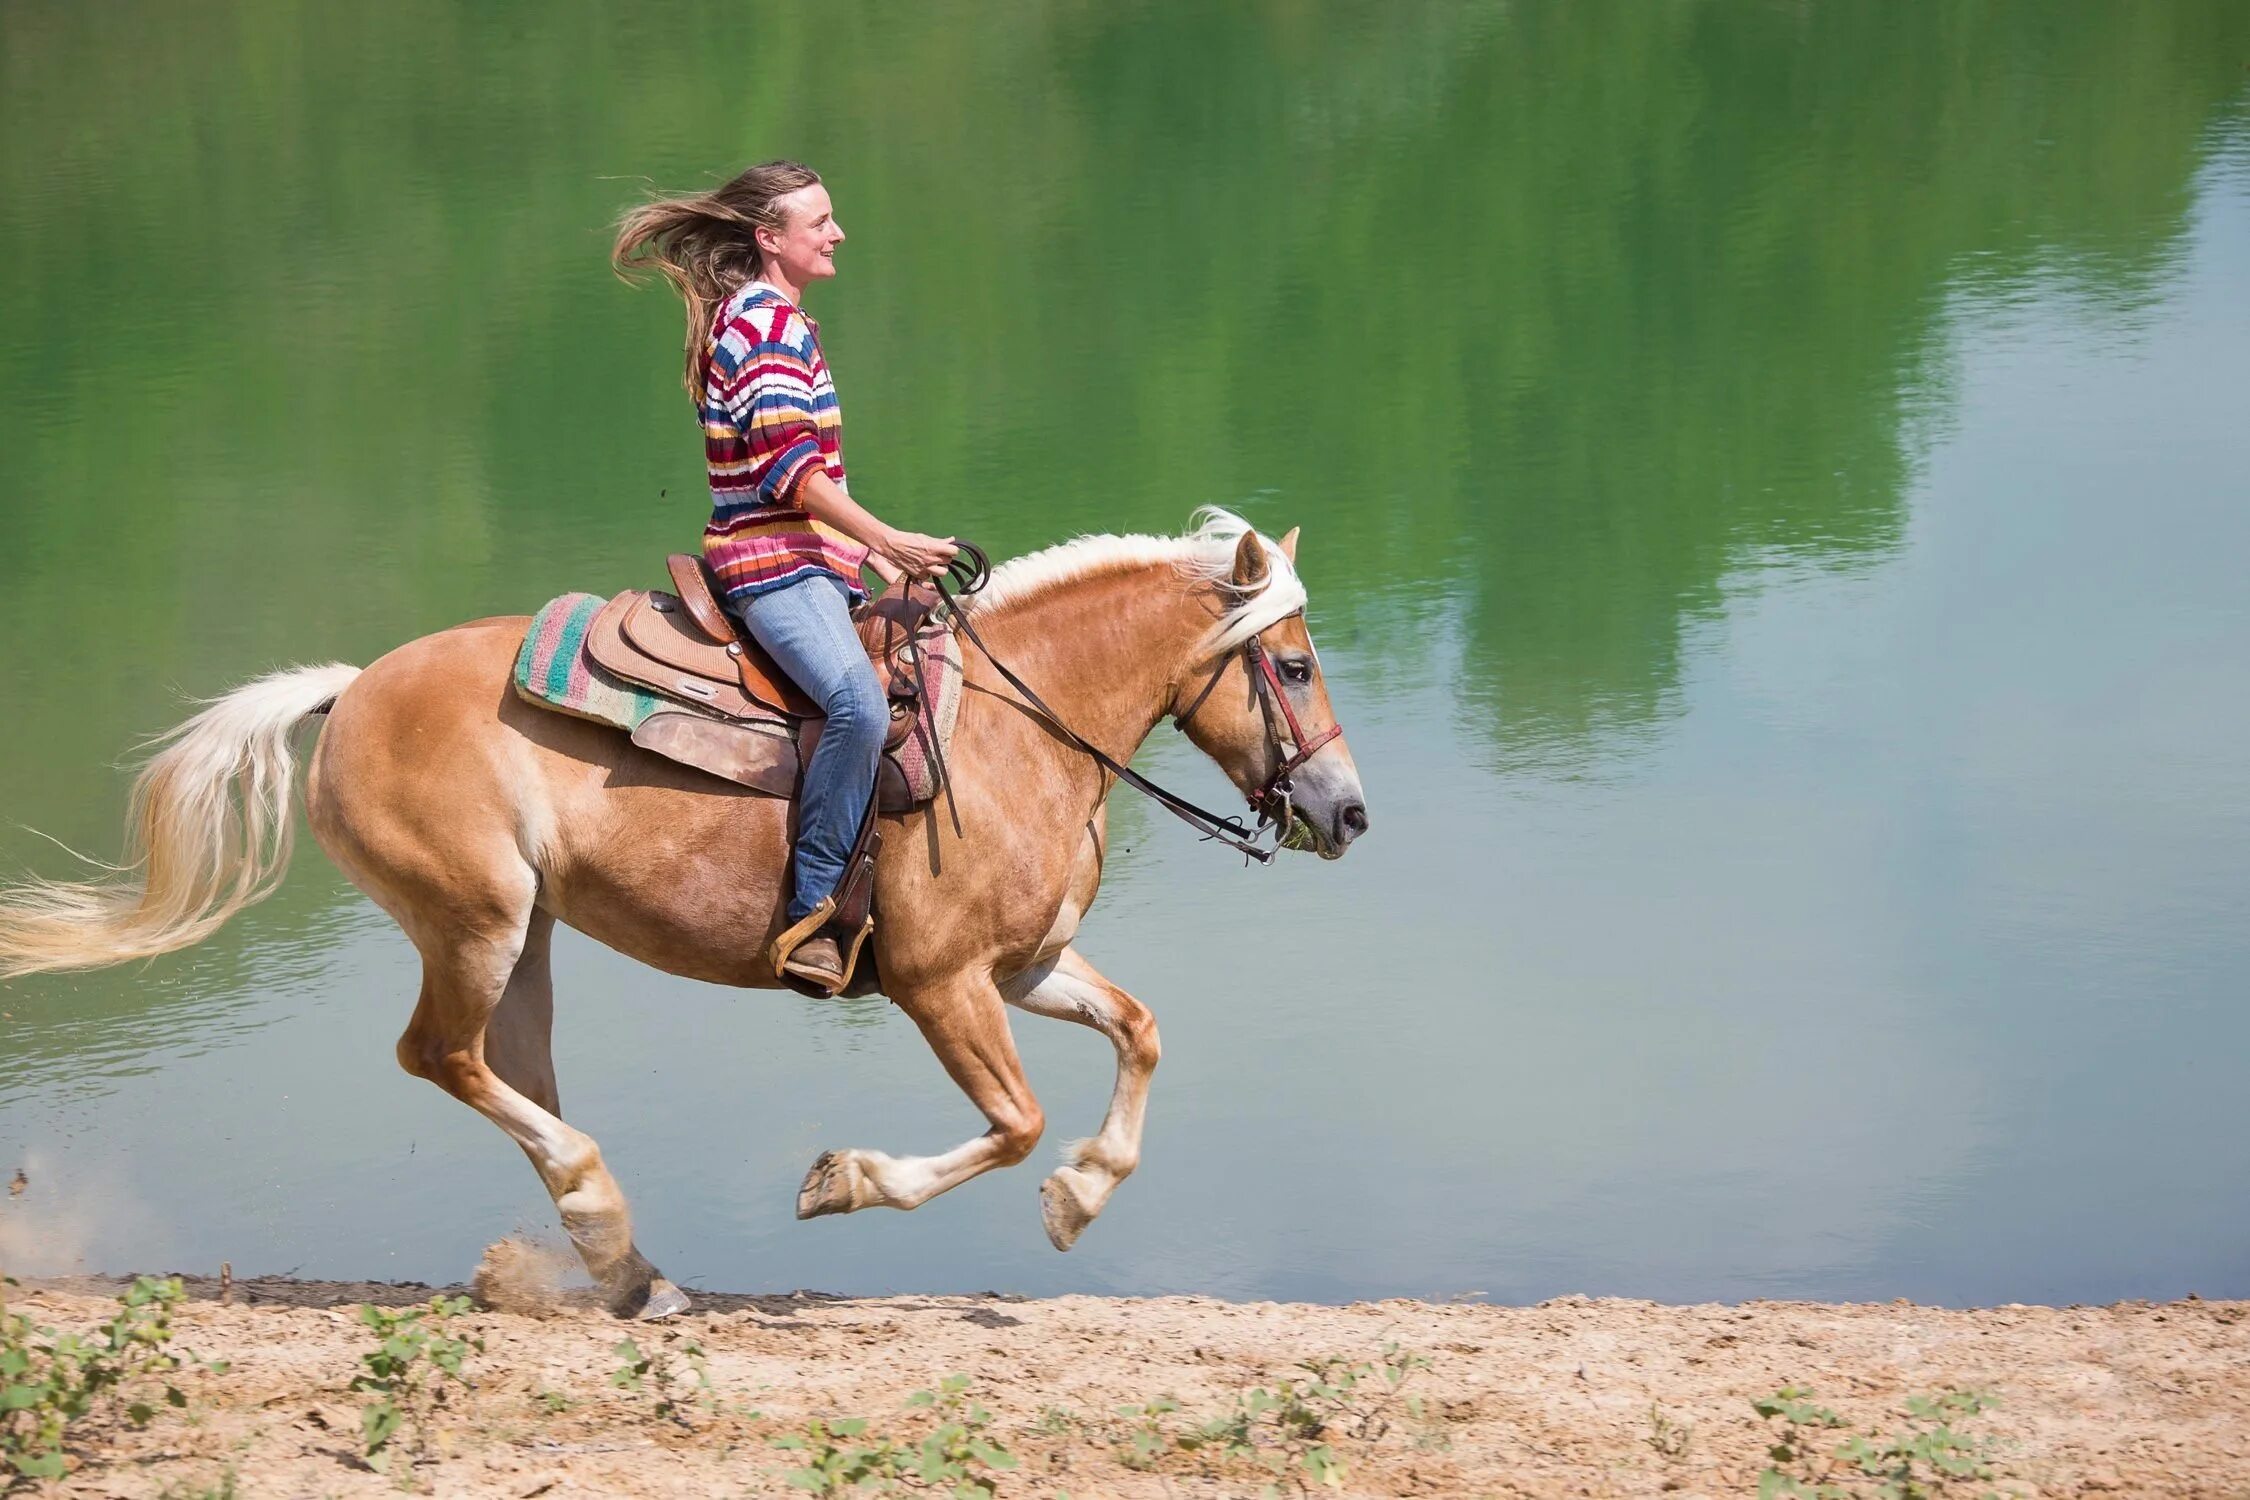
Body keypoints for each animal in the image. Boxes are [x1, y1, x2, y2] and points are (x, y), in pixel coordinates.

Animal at [0, 512, 1350, 1313]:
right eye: (1290, 665)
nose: (1348, 812)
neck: (1021, 728)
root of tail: (350, 691)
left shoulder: (1021, 968)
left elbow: (1140, 1032)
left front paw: (1082, 1196)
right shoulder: (940, 983)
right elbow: (1013, 1123)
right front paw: (843, 1181)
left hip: (525, 939)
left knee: (512, 1072)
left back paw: (627, 1267)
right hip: (474, 921)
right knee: (441, 1056)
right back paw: (603, 1219)